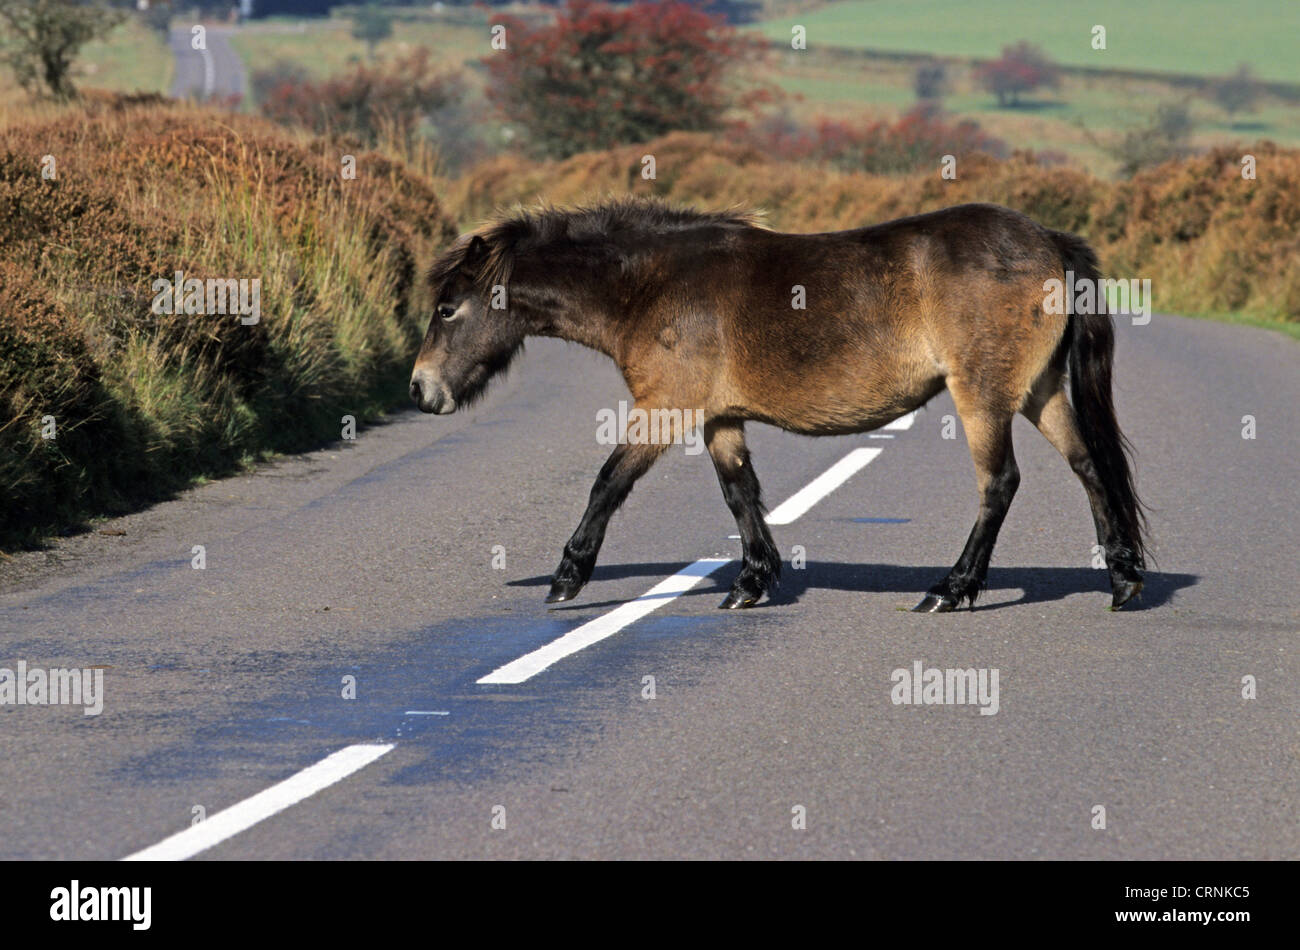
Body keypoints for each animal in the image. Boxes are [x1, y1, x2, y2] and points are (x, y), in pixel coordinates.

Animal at [410, 197, 1147, 613]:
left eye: (447, 308)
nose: (420, 389)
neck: (650, 284)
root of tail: (1048, 240)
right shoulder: (717, 417)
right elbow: (741, 494)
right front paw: (752, 582)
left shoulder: (664, 407)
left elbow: (608, 483)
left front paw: (567, 578)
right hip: (1039, 392)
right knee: (1088, 467)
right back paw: (1123, 579)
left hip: (984, 398)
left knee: (1000, 484)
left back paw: (952, 588)